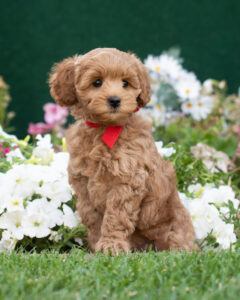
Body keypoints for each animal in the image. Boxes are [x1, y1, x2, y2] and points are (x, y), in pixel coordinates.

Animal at [48, 48, 195, 254]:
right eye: (97, 82)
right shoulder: (83, 184)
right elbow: (92, 217)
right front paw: (96, 245)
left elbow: (116, 216)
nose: (115, 100)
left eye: (125, 83)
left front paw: (111, 245)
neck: (105, 128)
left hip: (175, 225)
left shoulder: (128, 180)